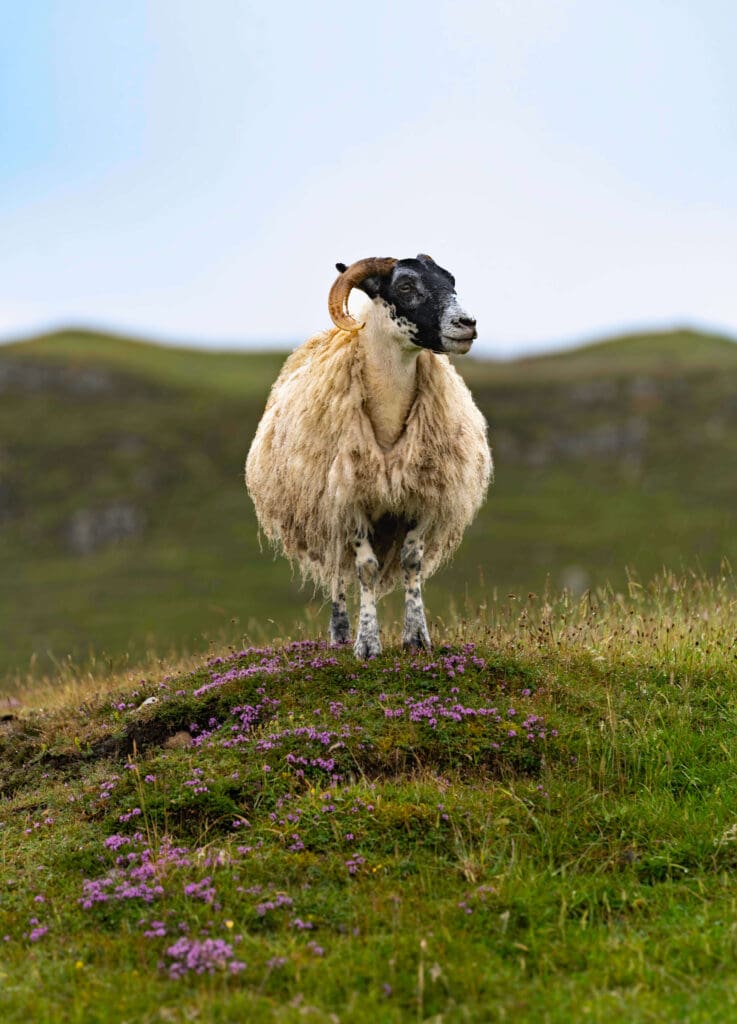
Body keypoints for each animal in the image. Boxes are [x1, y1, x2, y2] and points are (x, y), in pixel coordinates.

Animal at [244, 254, 491, 655]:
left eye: (451, 281)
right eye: (405, 286)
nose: (467, 324)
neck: (388, 417)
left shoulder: (419, 498)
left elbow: (411, 563)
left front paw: (417, 638)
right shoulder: (351, 501)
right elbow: (366, 569)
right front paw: (367, 644)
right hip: (326, 512)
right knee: (337, 572)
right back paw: (340, 633)